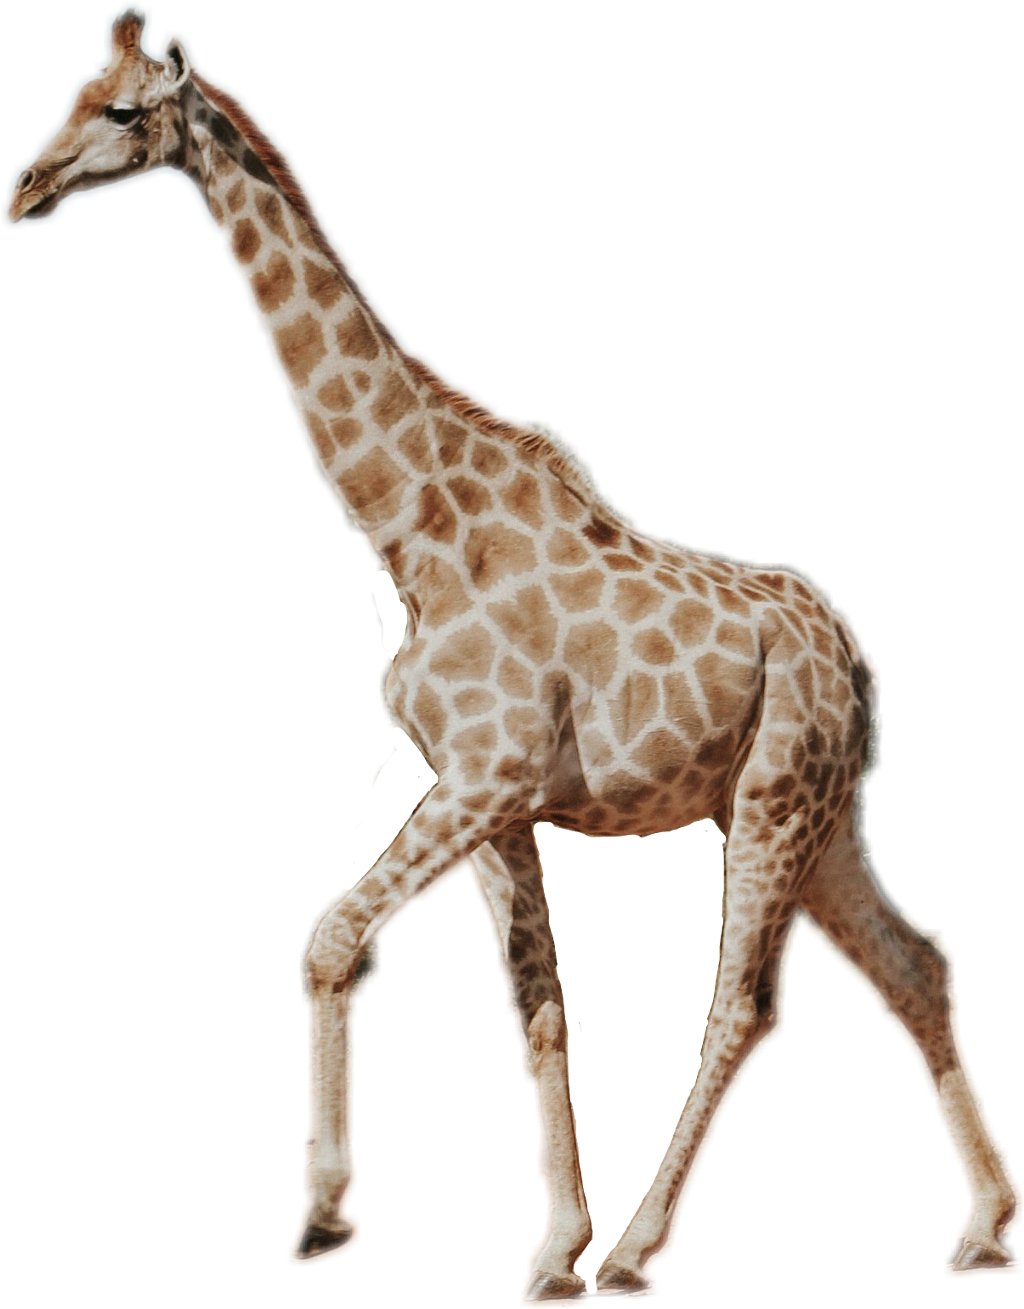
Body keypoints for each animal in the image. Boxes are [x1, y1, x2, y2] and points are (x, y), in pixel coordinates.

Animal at [6, 7, 1019, 1299]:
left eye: (125, 111)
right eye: (73, 93)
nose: (24, 189)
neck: (414, 528)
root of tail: (857, 664)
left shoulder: (484, 775)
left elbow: (334, 937)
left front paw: (325, 1215)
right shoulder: (493, 800)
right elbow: (536, 1008)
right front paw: (549, 1251)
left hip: (773, 799)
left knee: (745, 1005)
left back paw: (643, 1252)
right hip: (825, 816)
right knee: (915, 968)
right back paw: (984, 1227)